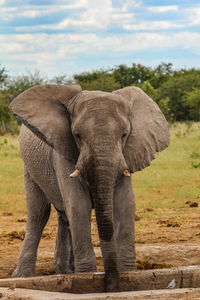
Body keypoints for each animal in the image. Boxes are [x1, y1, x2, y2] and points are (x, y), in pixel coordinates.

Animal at [9, 83, 169, 292]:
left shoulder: (126, 155)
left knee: (63, 215)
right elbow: (79, 205)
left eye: (124, 135)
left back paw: (65, 271)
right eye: (77, 136)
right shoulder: (63, 150)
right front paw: (87, 276)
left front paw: (129, 273)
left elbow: (125, 205)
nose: (112, 285)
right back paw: (23, 275)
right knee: (39, 213)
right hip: (28, 166)